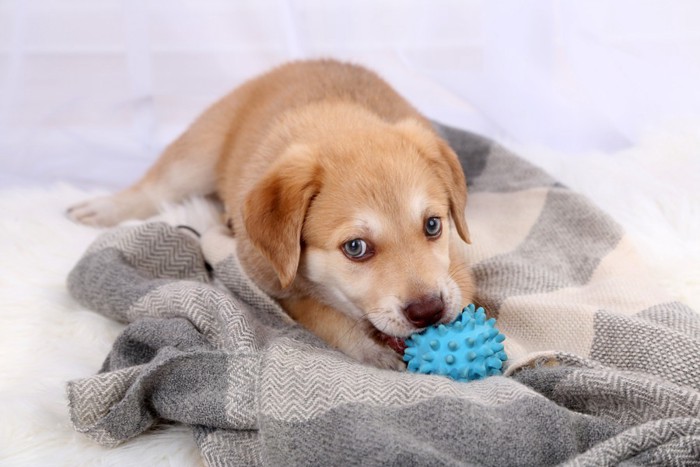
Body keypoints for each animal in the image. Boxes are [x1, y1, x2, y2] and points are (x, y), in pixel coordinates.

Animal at [68, 60, 476, 372]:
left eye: (433, 225)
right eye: (355, 248)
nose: (429, 311)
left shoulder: (455, 267)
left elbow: (462, 286)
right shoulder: (274, 287)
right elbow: (324, 315)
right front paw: (370, 349)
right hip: (195, 157)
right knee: (153, 189)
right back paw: (100, 208)